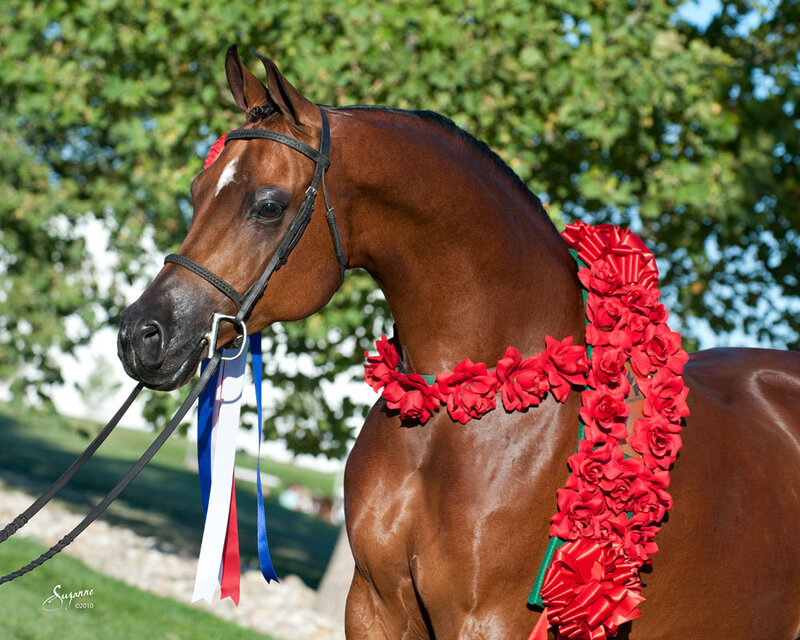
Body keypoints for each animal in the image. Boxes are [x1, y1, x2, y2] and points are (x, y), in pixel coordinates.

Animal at [117, 47, 800, 639]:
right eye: (196, 192)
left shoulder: (491, 622)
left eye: (267, 205)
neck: (470, 409)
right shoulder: (375, 606)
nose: (141, 335)